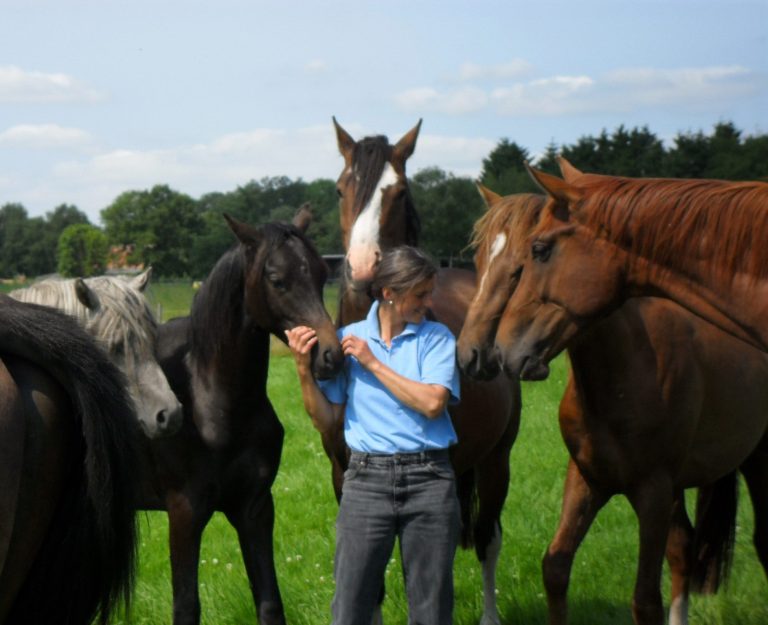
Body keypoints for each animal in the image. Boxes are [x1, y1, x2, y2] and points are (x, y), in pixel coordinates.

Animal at [138, 208, 342, 624]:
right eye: (277, 280)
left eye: (321, 274)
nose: (330, 356)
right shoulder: (184, 513)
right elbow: (186, 606)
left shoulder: (255, 509)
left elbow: (269, 602)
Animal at [328, 118, 516, 624]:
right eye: (341, 188)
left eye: (398, 192)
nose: (362, 267)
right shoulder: (342, 475)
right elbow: (368, 576)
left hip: (496, 460)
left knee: (488, 539)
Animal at [468, 176, 768, 624]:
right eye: (478, 260)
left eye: (531, 256)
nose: (488, 352)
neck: (623, 375)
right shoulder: (588, 479)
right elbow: (555, 568)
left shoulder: (652, 492)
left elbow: (645, 600)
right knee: (683, 551)